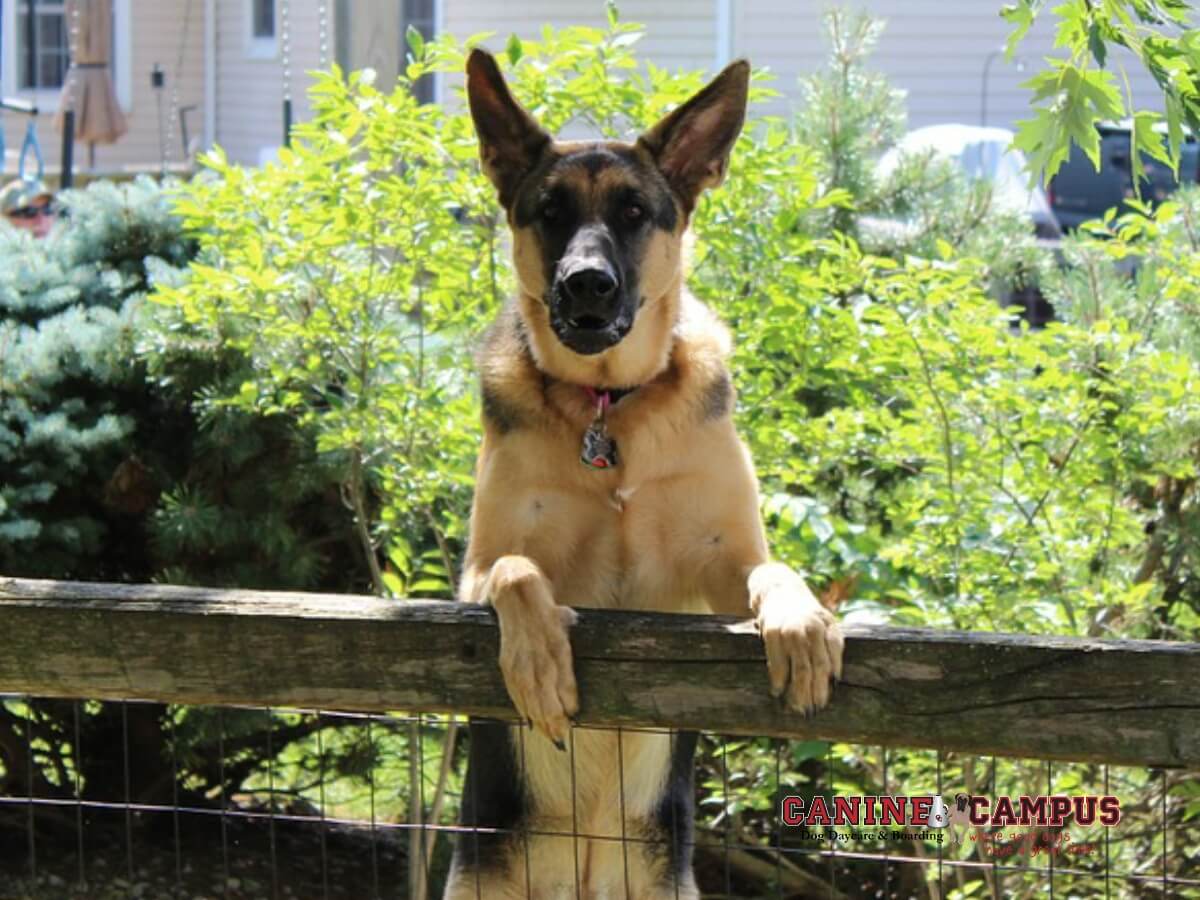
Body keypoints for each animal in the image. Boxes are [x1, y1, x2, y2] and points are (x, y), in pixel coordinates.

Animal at [441, 51, 844, 900]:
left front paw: (801, 625)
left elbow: (773, 571)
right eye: (550, 211)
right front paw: (539, 662)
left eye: (632, 211)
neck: (611, 409)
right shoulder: (473, 573)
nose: (586, 284)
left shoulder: (719, 576)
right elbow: (520, 570)